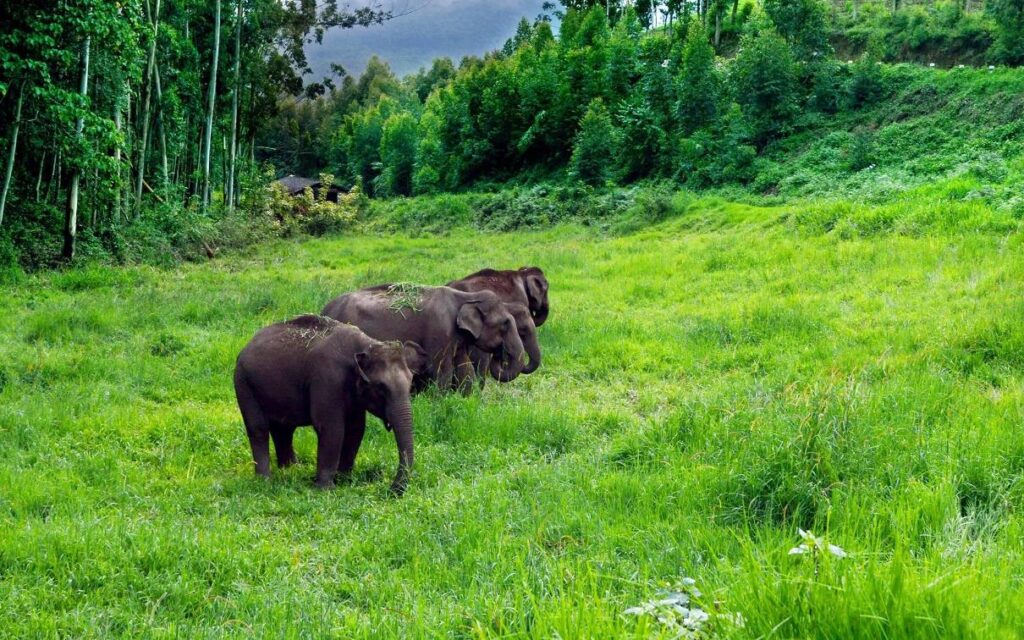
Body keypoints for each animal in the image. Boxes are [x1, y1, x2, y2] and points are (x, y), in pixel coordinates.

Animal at [234, 314, 427, 494]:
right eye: (380, 388)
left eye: (410, 382)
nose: (391, 490)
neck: (367, 344)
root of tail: (245, 346)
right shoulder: (327, 379)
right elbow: (332, 428)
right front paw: (327, 489)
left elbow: (356, 429)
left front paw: (344, 480)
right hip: (244, 384)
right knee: (258, 429)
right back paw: (265, 480)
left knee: (284, 429)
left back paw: (291, 470)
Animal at [321, 284, 528, 392]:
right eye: (505, 323)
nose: (500, 355)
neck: (465, 296)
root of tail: (324, 309)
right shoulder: (439, 330)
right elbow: (442, 370)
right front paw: (441, 402)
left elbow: (464, 368)